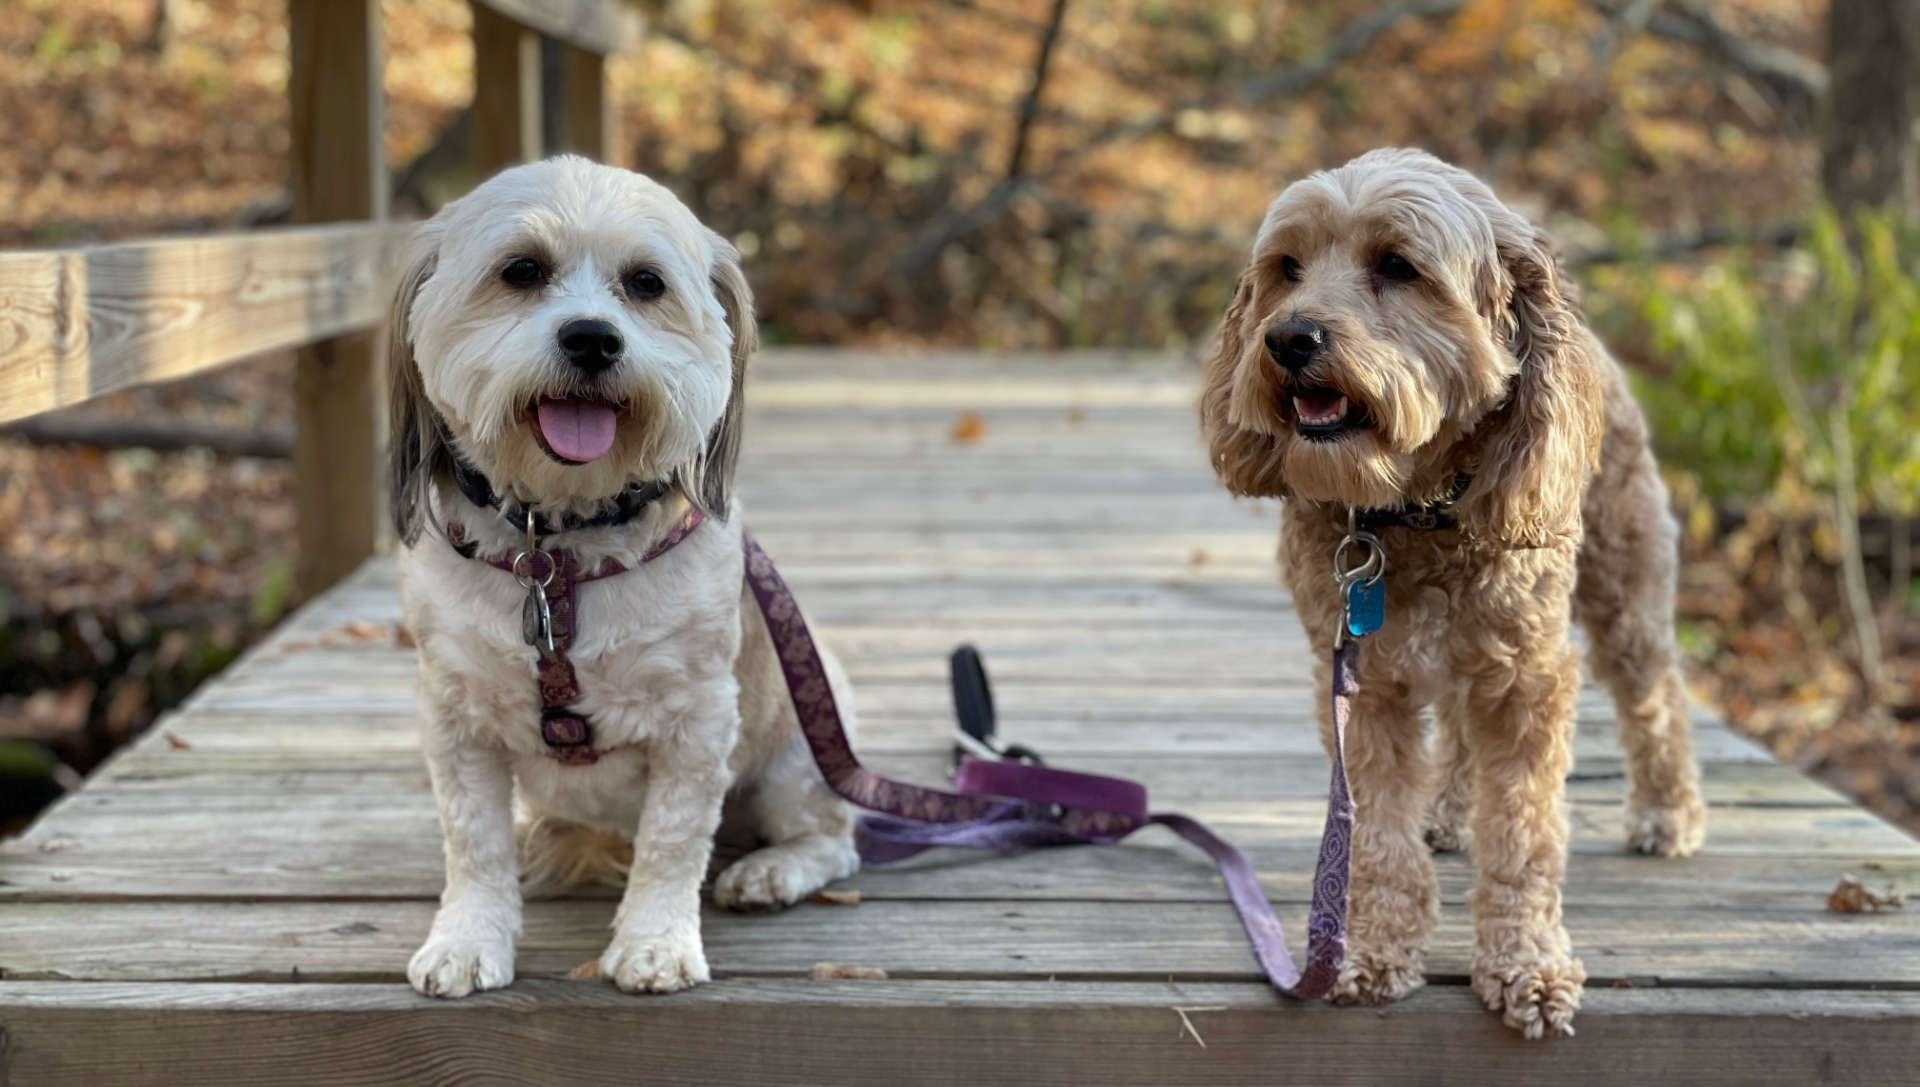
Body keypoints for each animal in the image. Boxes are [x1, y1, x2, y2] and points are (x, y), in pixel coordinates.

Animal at [393, 157, 860, 998]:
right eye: (521, 270)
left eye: (646, 283)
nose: (592, 337)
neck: (560, 550)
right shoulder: (455, 721)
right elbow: (475, 844)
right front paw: (467, 938)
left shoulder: (697, 723)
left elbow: (671, 843)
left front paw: (654, 944)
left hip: (797, 757)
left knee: (832, 838)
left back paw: (770, 870)